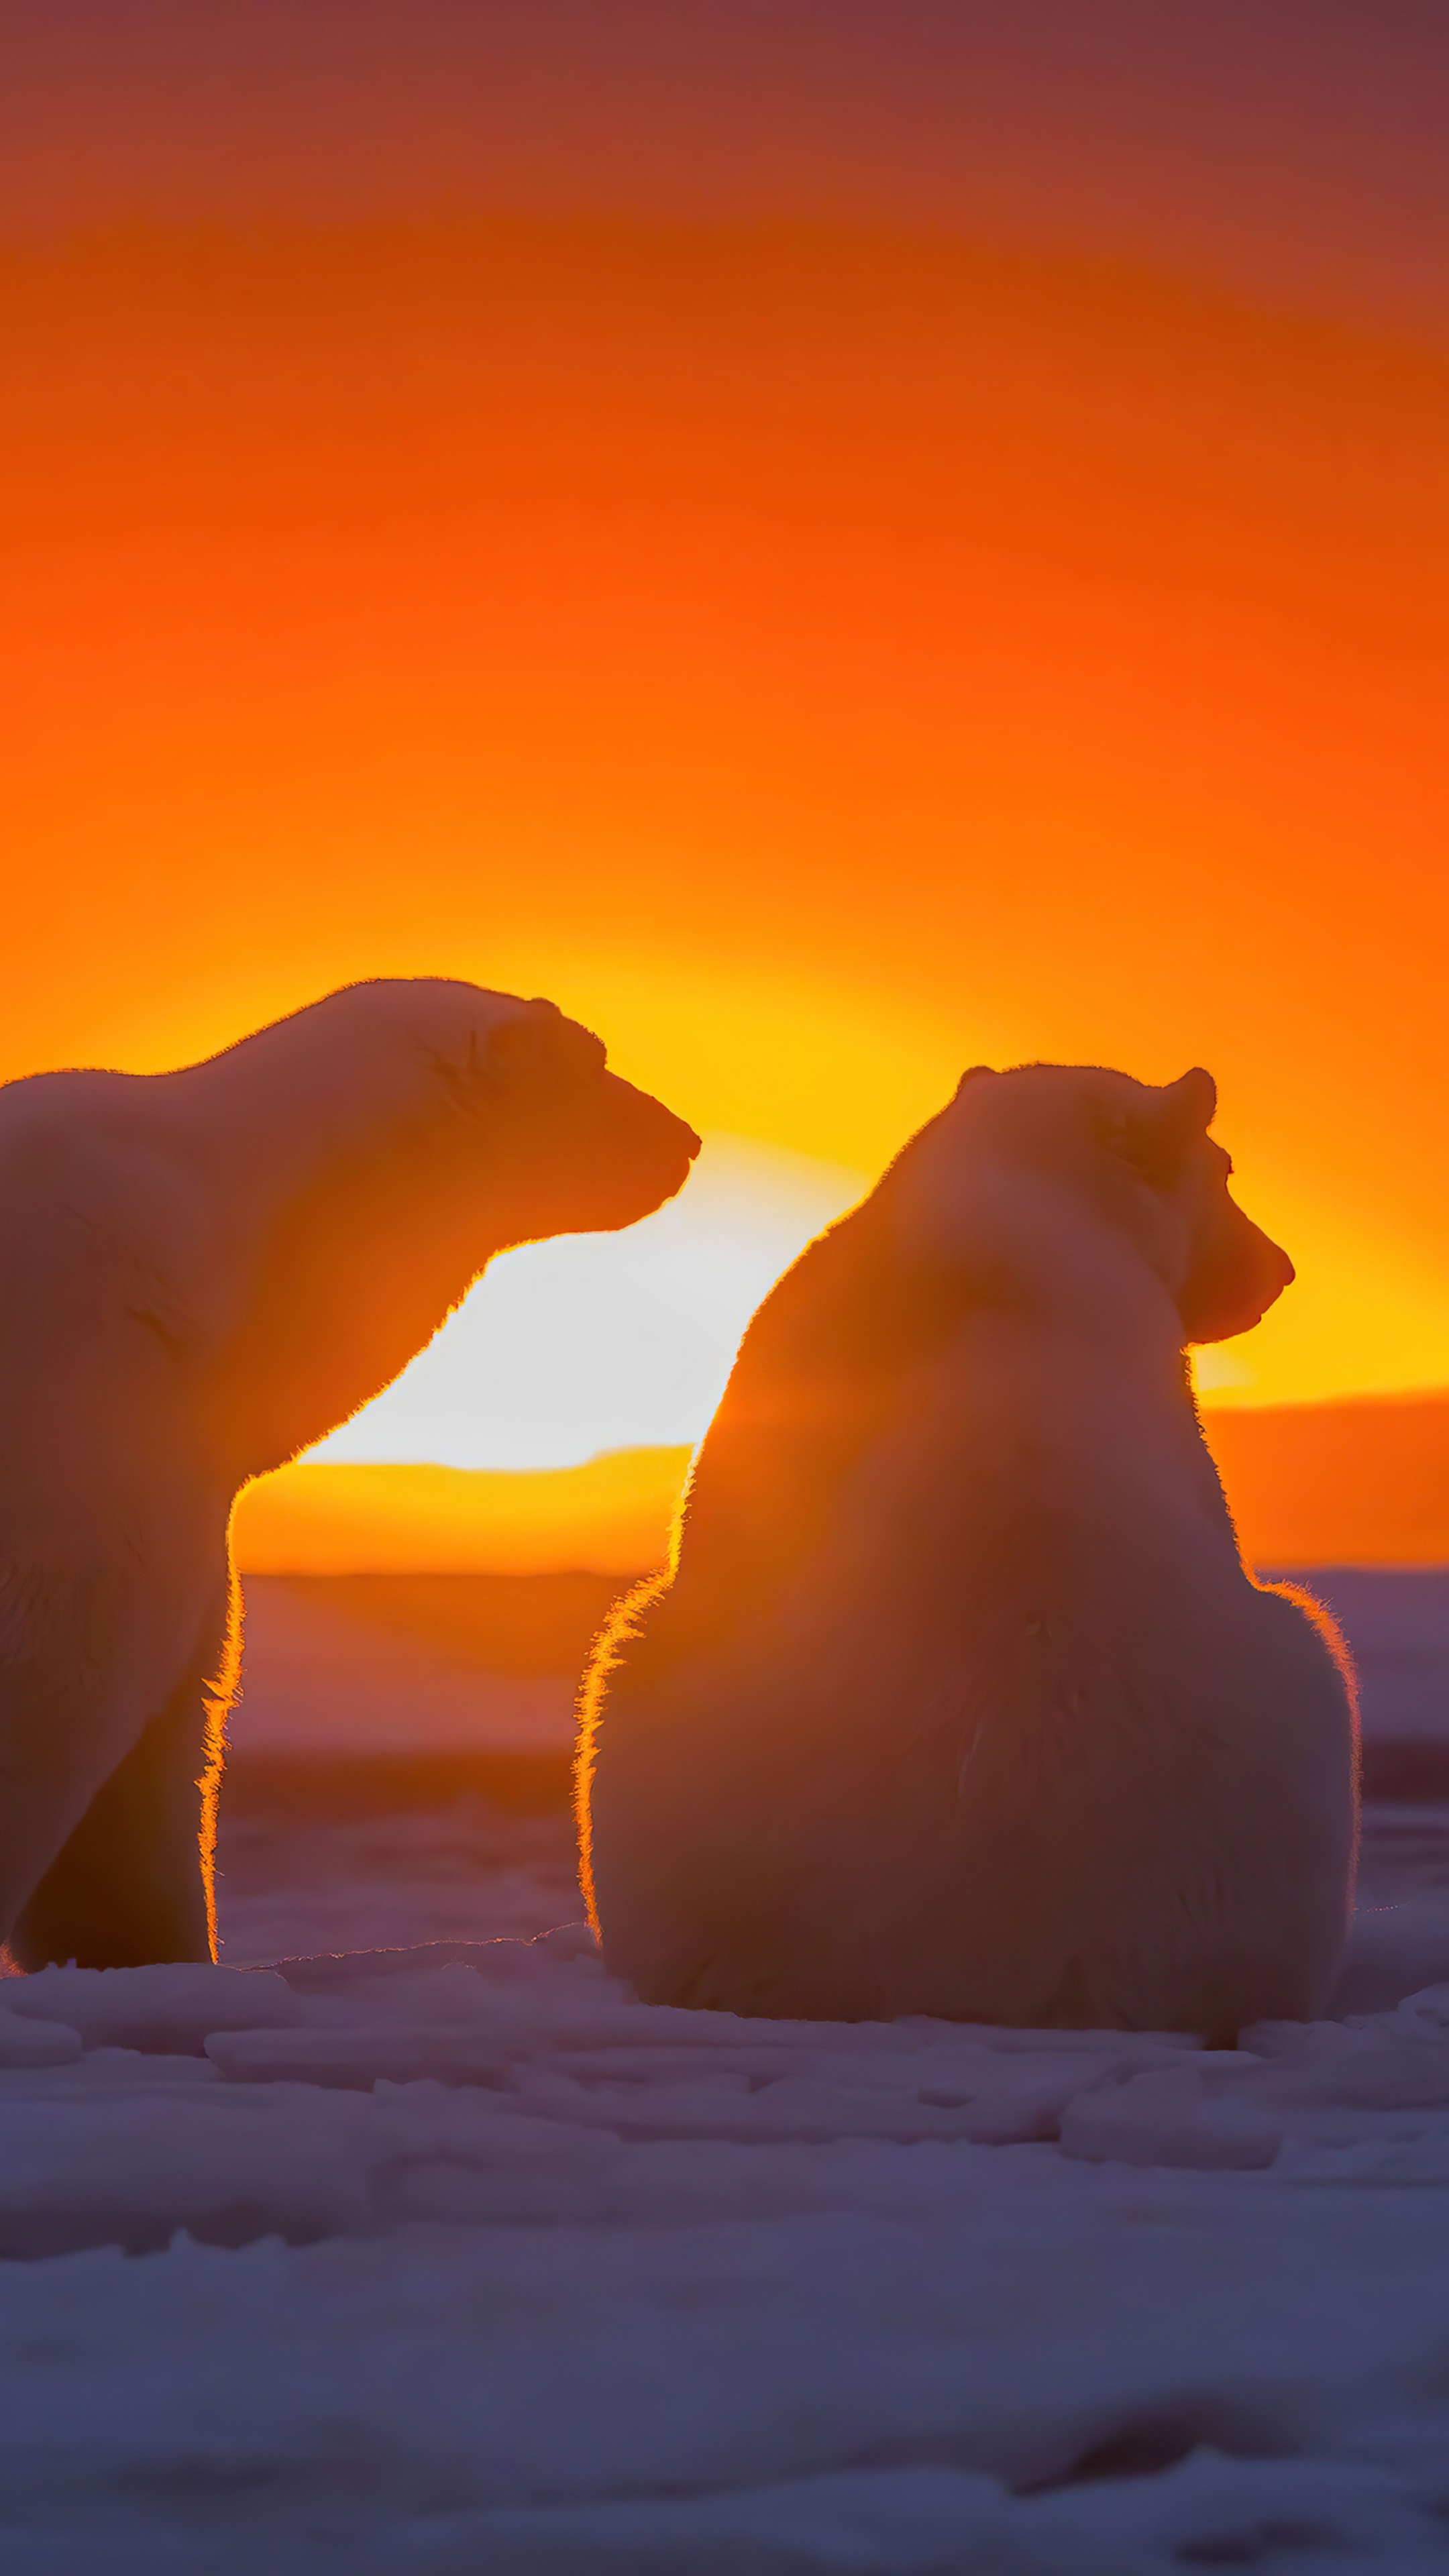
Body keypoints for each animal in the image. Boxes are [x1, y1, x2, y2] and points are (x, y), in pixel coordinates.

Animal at [0, 977, 698, 1971]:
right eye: (593, 1062)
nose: (685, 1139)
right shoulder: (87, 1430)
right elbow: (64, 1682)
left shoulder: (181, 1496)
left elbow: (155, 1756)